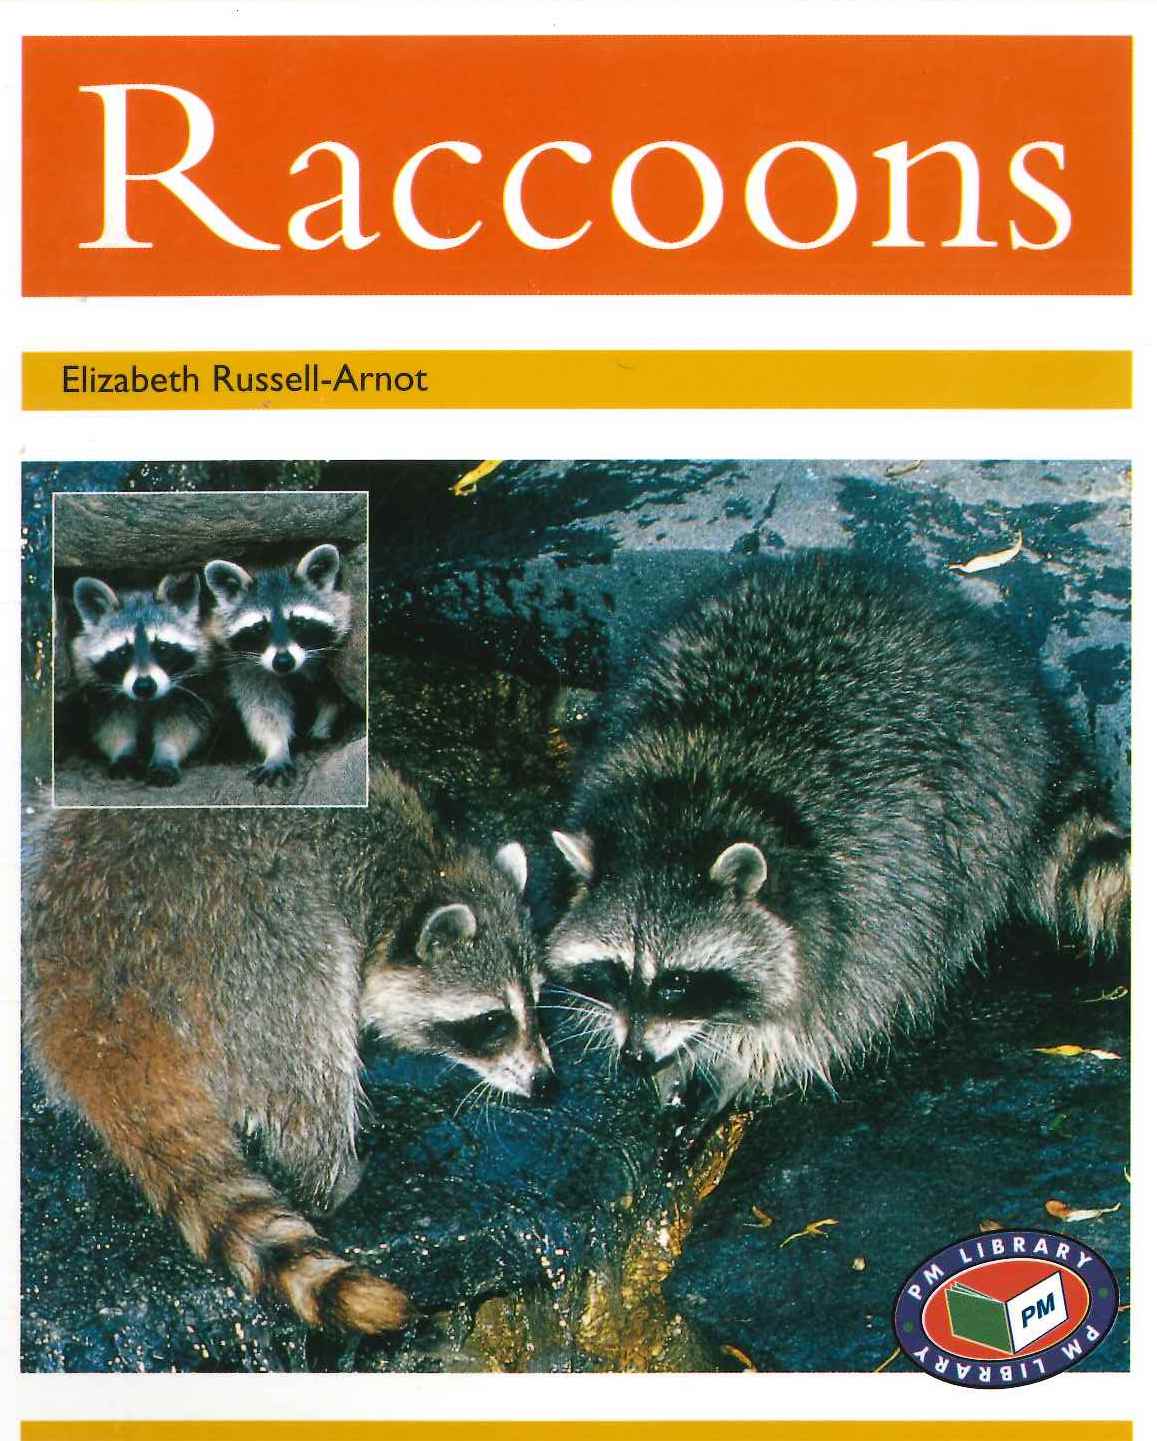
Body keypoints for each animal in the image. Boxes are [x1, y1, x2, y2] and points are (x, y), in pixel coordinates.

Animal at [23, 766, 554, 1334]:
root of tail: (97, 998)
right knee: (312, 1033)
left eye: (537, 1002)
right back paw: (333, 1176)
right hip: (259, 940)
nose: (546, 1082)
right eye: (493, 1022)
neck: (416, 869)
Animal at [68, 571, 213, 786]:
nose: (144, 686)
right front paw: (123, 752)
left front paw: (166, 754)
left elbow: (182, 725)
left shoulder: (191, 687)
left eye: (162, 647)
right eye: (123, 652)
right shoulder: (100, 689)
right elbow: (112, 724)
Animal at [204, 543, 354, 786]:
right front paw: (276, 748)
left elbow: (332, 694)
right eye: (259, 628)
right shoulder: (246, 665)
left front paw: (324, 723)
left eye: (298, 622)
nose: (283, 662)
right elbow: (264, 706)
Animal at [547, 552, 1129, 1136]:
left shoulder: (875, 891)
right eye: (616, 971)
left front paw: (744, 1064)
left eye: (677, 981)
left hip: (987, 797)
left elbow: (838, 1012)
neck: (688, 805)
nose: (634, 1058)